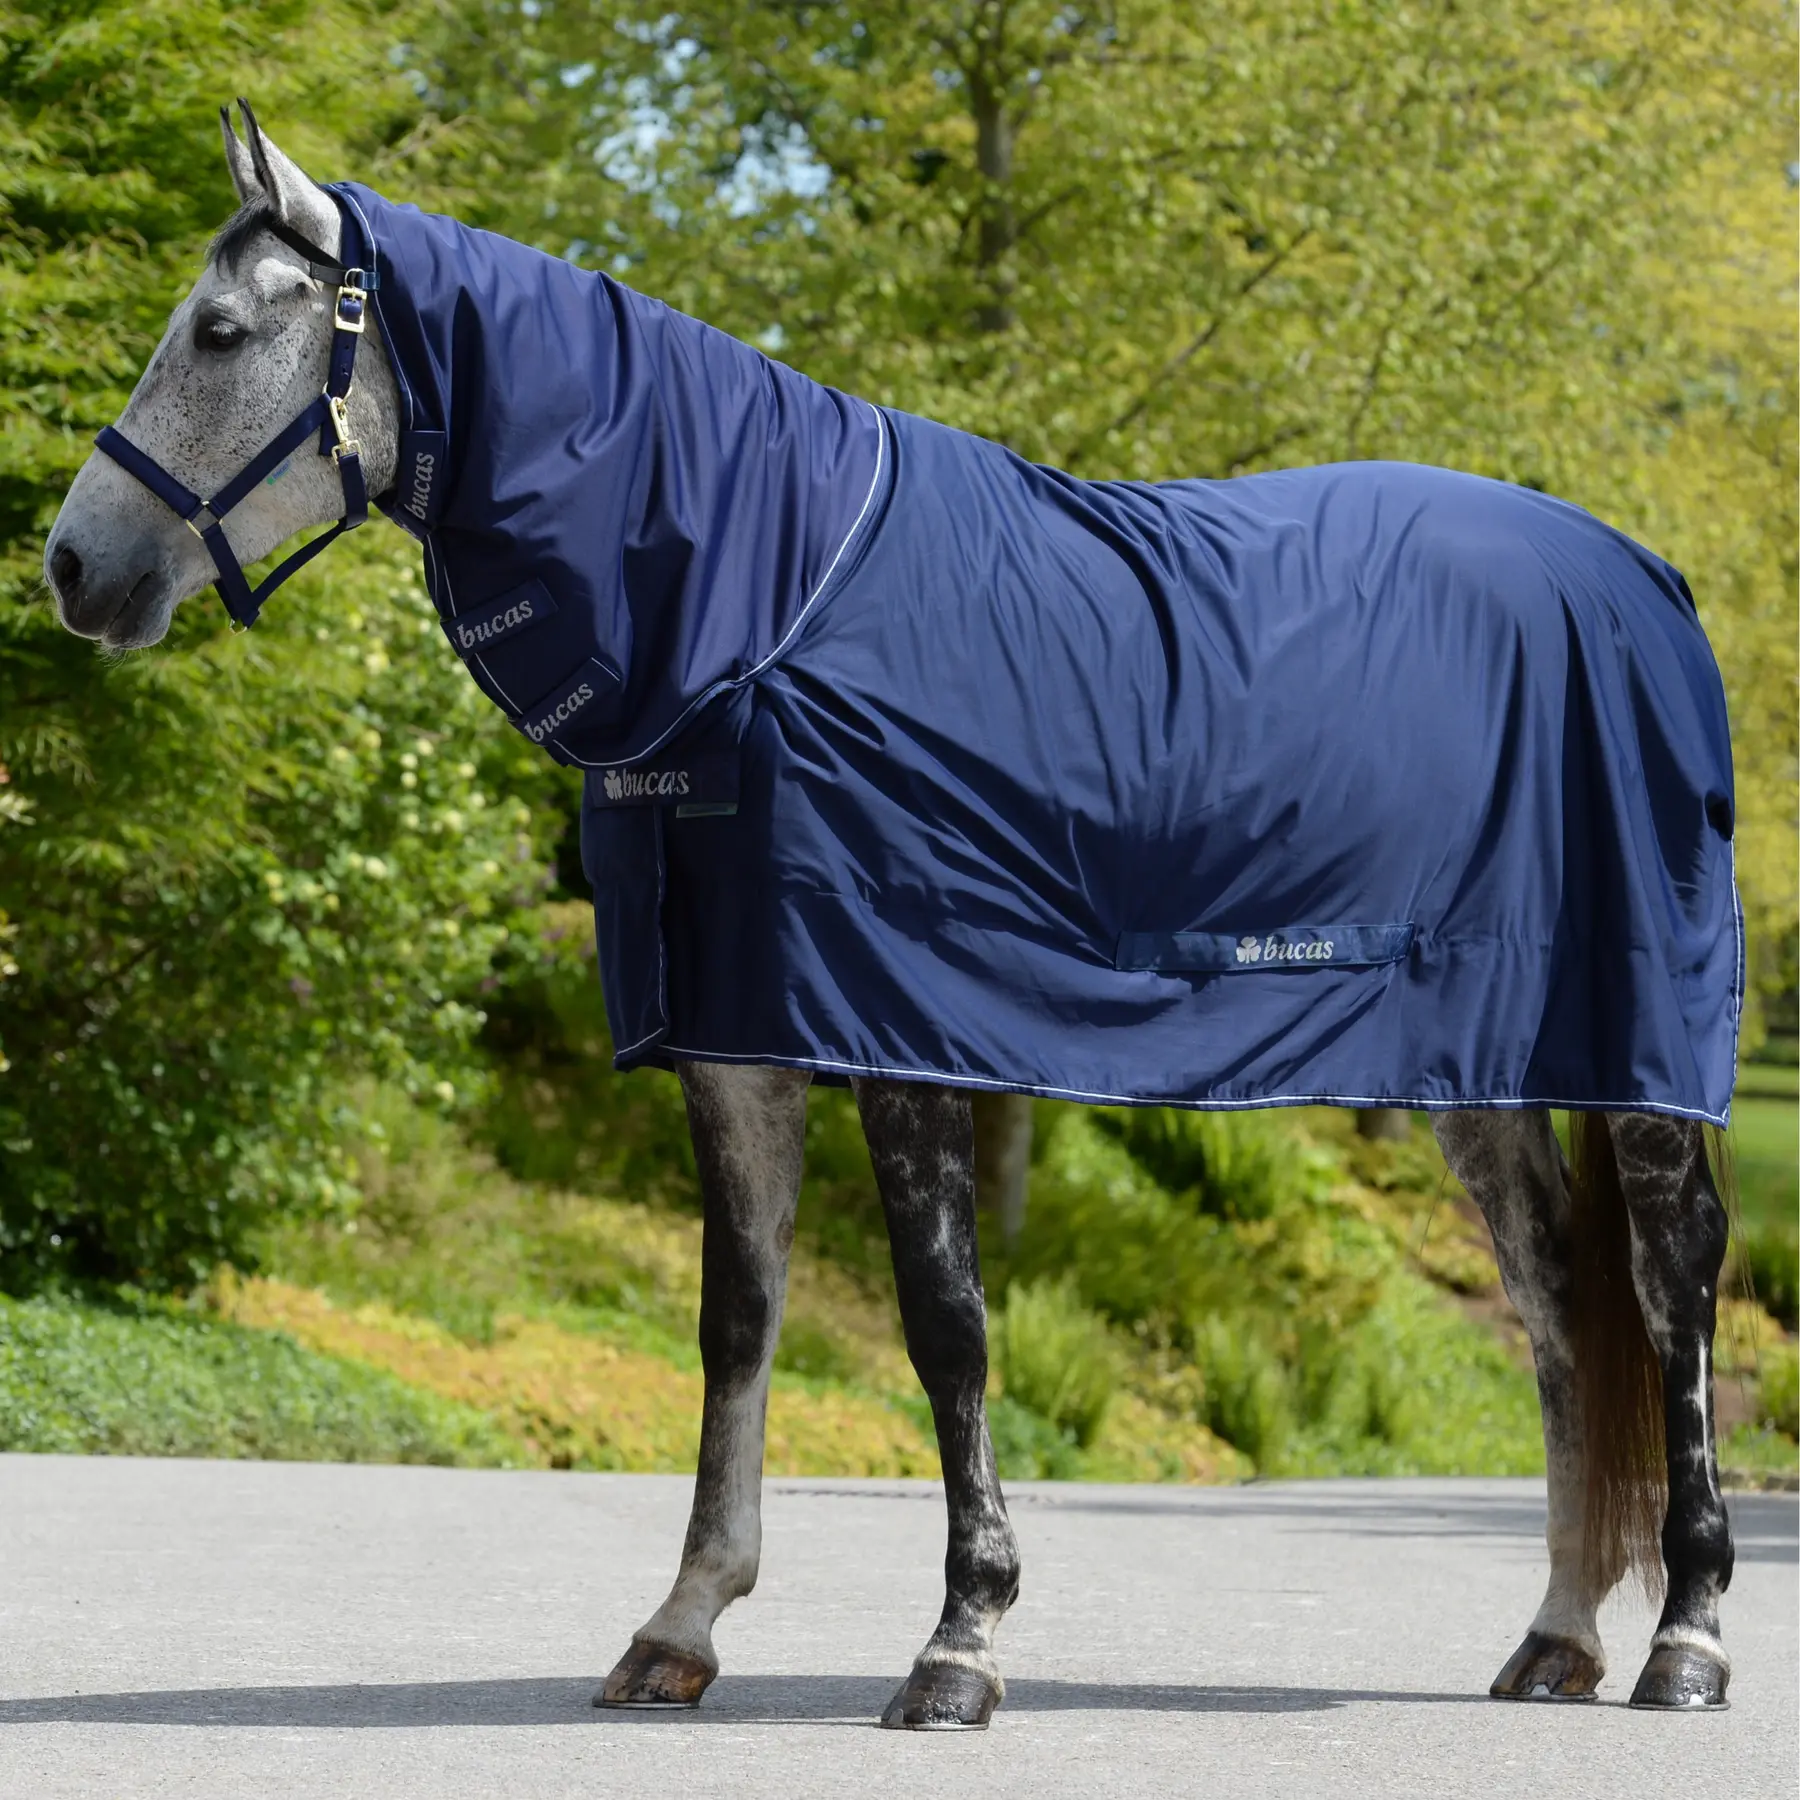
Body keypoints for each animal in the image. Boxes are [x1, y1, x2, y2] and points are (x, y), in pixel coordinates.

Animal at [44, 103, 1741, 1728]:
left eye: (216, 333)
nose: (73, 567)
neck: (764, 610)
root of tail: (1647, 581)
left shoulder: (904, 1023)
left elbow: (947, 1327)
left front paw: (961, 1641)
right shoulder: (735, 1034)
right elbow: (739, 1321)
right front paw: (679, 1626)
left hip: (1643, 1055)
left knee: (1671, 1290)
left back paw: (1687, 1638)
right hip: (1481, 1069)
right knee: (1558, 1305)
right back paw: (1558, 1636)